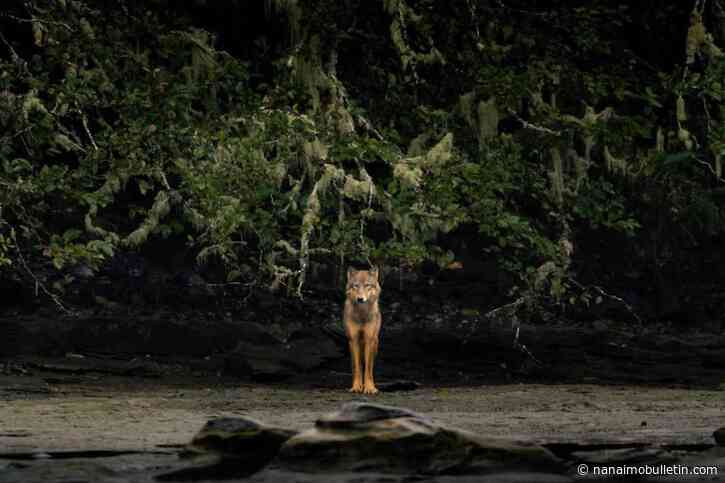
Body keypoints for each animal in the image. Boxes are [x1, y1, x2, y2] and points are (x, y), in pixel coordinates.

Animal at [344, 266, 382, 394]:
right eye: (356, 286)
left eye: (367, 285)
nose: (360, 299)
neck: (362, 314)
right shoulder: (353, 340)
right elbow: (357, 367)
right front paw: (356, 387)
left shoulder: (370, 340)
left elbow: (368, 368)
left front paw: (369, 388)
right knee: (358, 365)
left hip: (375, 343)